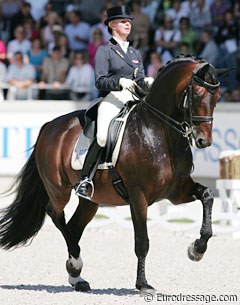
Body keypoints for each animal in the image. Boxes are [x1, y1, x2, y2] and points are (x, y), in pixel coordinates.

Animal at [0, 55, 225, 294]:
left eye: (218, 97)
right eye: (196, 94)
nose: (203, 141)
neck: (160, 132)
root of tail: (50, 125)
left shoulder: (177, 191)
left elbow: (208, 195)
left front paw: (197, 249)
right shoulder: (138, 195)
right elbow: (142, 241)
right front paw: (143, 284)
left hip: (91, 200)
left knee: (73, 227)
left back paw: (76, 275)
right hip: (58, 188)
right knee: (55, 214)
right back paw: (76, 263)